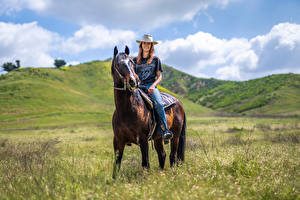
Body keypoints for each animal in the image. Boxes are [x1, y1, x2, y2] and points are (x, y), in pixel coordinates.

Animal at [110, 45, 185, 178]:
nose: (133, 81)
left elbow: (145, 163)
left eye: (131, 62)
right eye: (118, 64)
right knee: (162, 154)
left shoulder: (143, 139)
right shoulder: (118, 140)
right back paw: (160, 173)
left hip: (175, 135)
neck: (126, 110)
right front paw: (113, 180)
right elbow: (117, 163)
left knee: (173, 155)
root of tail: (178, 102)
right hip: (158, 138)